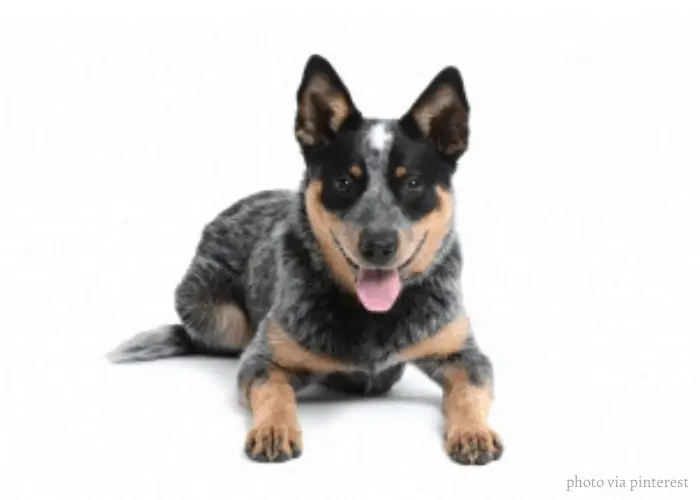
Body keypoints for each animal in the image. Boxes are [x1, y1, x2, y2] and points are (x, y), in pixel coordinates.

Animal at [108, 53, 504, 464]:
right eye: (344, 182)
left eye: (412, 183)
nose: (378, 245)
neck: (373, 317)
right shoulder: (263, 360)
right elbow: (275, 391)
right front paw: (273, 429)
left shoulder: (463, 354)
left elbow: (468, 393)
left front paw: (474, 432)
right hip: (218, 314)